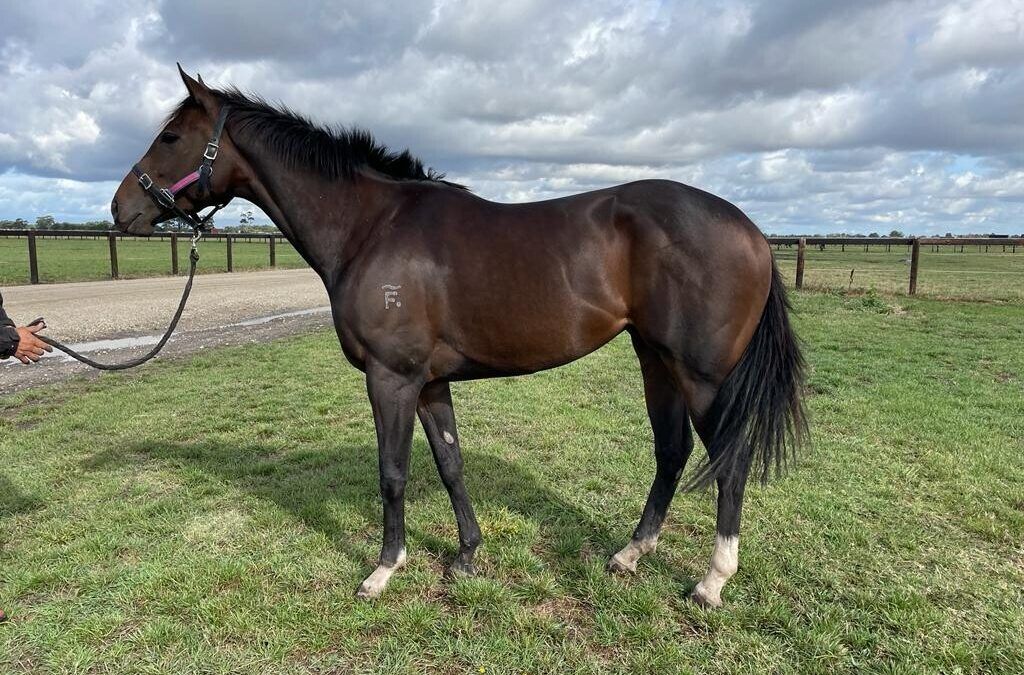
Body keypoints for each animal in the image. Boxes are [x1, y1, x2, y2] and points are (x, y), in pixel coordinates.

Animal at [112, 67, 806, 606]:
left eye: (171, 136)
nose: (120, 209)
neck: (372, 226)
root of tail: (751, 231)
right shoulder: (430, 383)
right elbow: (449, 464)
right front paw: (468, 554)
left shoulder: (391, 378)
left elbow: (393, 471)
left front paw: (383, 571)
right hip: (654, 360)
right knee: (672, 452)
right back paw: (629, 556)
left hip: (702, 375)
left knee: (730, 461)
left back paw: (711, 582)